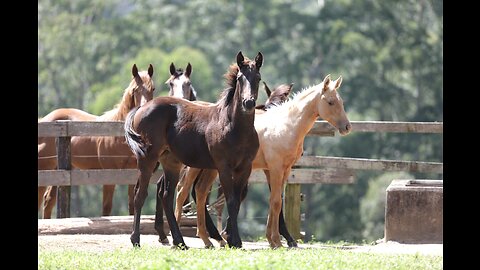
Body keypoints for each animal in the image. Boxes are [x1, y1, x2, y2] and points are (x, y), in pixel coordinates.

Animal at [124, 51, 262, 249]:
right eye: (240, 78)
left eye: (258, 77)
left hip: (171, 163)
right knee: (140, 195)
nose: (249, 102)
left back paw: (179, 241)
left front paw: (233, 240)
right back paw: (136, 239)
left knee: (166, 196)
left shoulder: (245, 168)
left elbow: (236, 202)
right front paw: (233, 240)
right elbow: (231, 200)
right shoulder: (223, 168)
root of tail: (142, 108)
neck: (234, 128)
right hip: (148, 159)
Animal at [174, 75, 350, 248]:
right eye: (330, 102)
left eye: (341, 101)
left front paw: (272, 240)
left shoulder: (283, 170)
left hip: (211, 168)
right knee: (182, 192)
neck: (285, 126)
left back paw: (209, 239)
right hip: (196, 167)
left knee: (200, 191)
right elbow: (276, 202)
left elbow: (275, 201)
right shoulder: (275, 168)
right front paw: (277, 241)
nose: (347, 127)